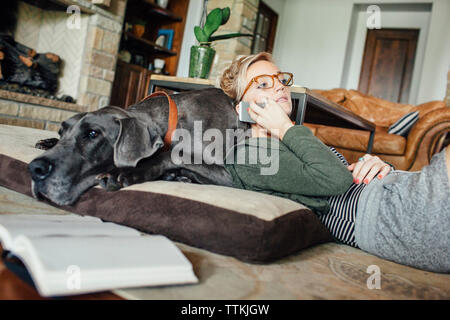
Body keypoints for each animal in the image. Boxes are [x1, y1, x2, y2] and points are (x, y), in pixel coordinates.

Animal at [28, 88, 250, 205]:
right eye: (62, 132)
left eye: (92, 134)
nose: (35, 168)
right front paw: (49, 141)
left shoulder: (226, 175)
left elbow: (173, 154)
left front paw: (125, 173)